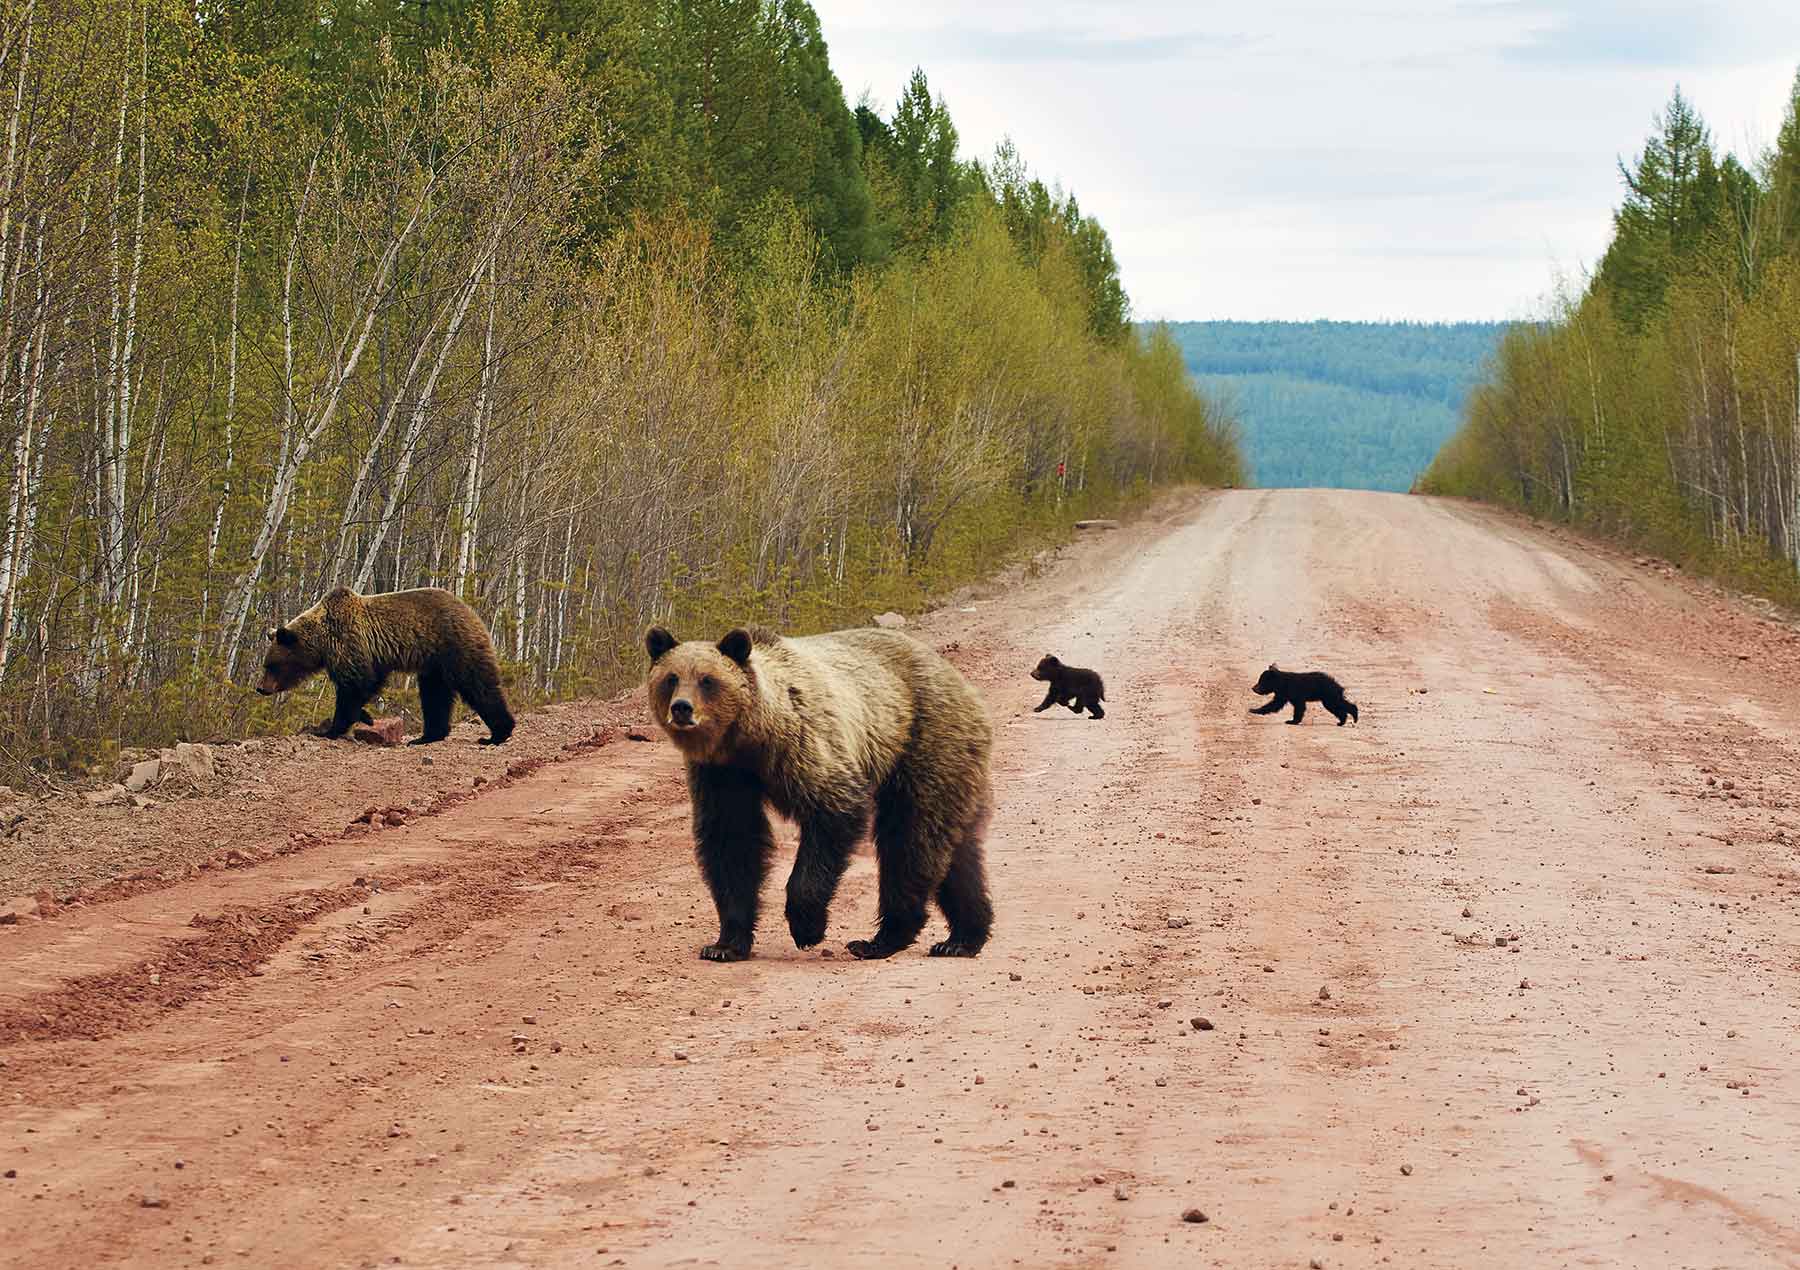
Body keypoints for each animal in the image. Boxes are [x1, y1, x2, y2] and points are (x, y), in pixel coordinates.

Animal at [250, 582, 514, 741]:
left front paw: (330, 729)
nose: (261, 688)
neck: (322, 642)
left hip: (453, 644)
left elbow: (356, 686)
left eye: (271, 665)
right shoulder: (368, 655)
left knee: (477, 683)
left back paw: (498, 732)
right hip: (433, 663)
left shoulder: (349, 643)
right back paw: (427, 737)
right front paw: (364, 716)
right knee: (435, 695)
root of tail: (471, 610)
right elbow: (368, 683)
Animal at [640, 622, 993, 956]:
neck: (749, 737)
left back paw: (882, 939)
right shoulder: (723, 773)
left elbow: (833, 812)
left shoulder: (805, 745)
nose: (682, 708)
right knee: (956, 850)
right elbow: (732, 841)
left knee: (910, 836)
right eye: (671, 678)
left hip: (923, 740)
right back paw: (962, 938)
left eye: (707, 680)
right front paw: (725, 944)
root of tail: (962, 684)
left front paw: (807, 927)